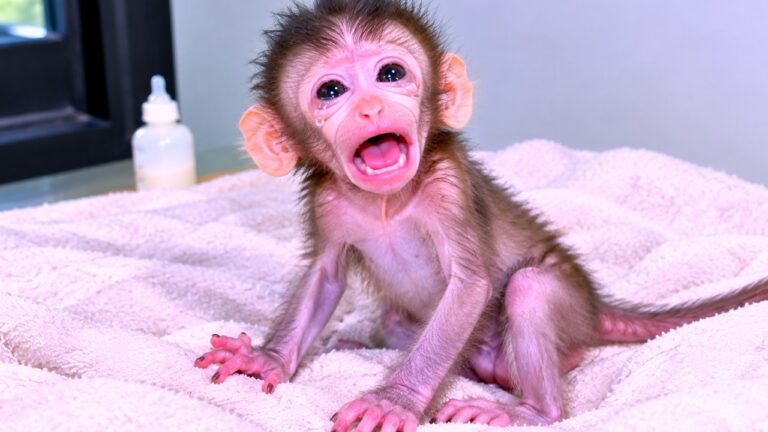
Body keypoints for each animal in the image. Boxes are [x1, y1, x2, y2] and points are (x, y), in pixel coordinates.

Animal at [193, 1, 768, 431]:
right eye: (331, 91)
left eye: (390, 73)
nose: (372, 108)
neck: (387, 202)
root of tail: (595, 306)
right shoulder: (326, 203)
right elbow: (325, 275)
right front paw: (267, 358)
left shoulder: (448, 187)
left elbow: (470, 284)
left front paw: (395, 400)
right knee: (398, 320)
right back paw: (362, 337)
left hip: (556, 311)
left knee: (529, 289)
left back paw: (532, 411)